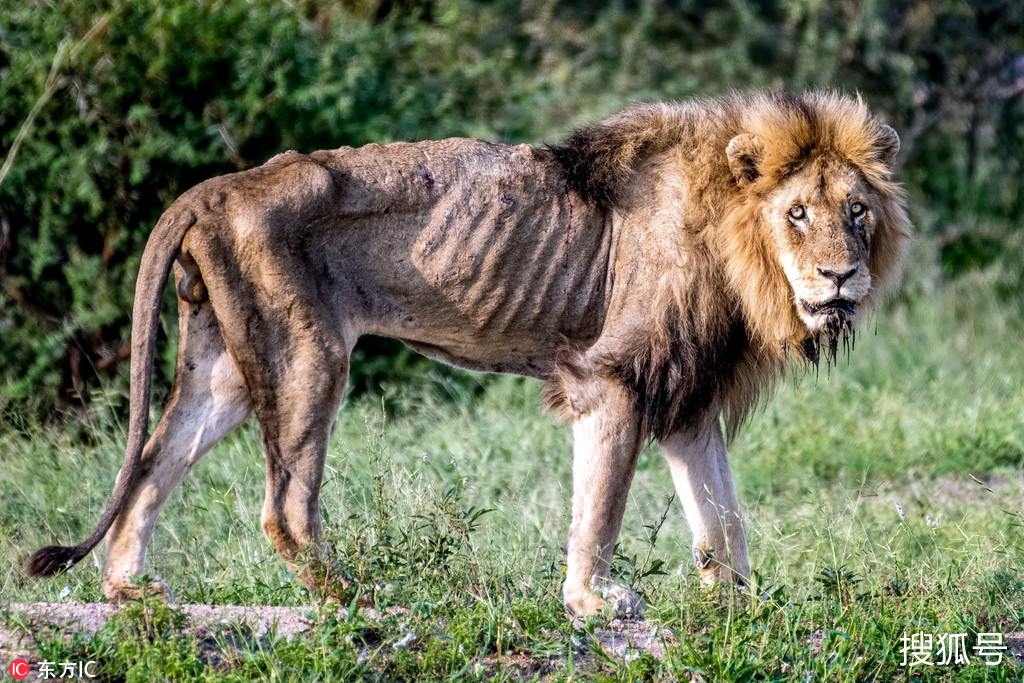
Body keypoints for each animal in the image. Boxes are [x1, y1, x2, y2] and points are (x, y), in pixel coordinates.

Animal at [24, 88, 909, 618]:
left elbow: (722, 518)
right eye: (797, 213)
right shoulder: (614, 377)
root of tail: (213, 189)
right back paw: (361, 595)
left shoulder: (685, 393)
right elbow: (601, 509)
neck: (735, 242)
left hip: (226, 369)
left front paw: (741, 609)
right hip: (309, 355)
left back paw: (134, 589)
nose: (841, 275)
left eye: (857, 211)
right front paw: (592, 600)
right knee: (284, 508)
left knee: (152, 463)